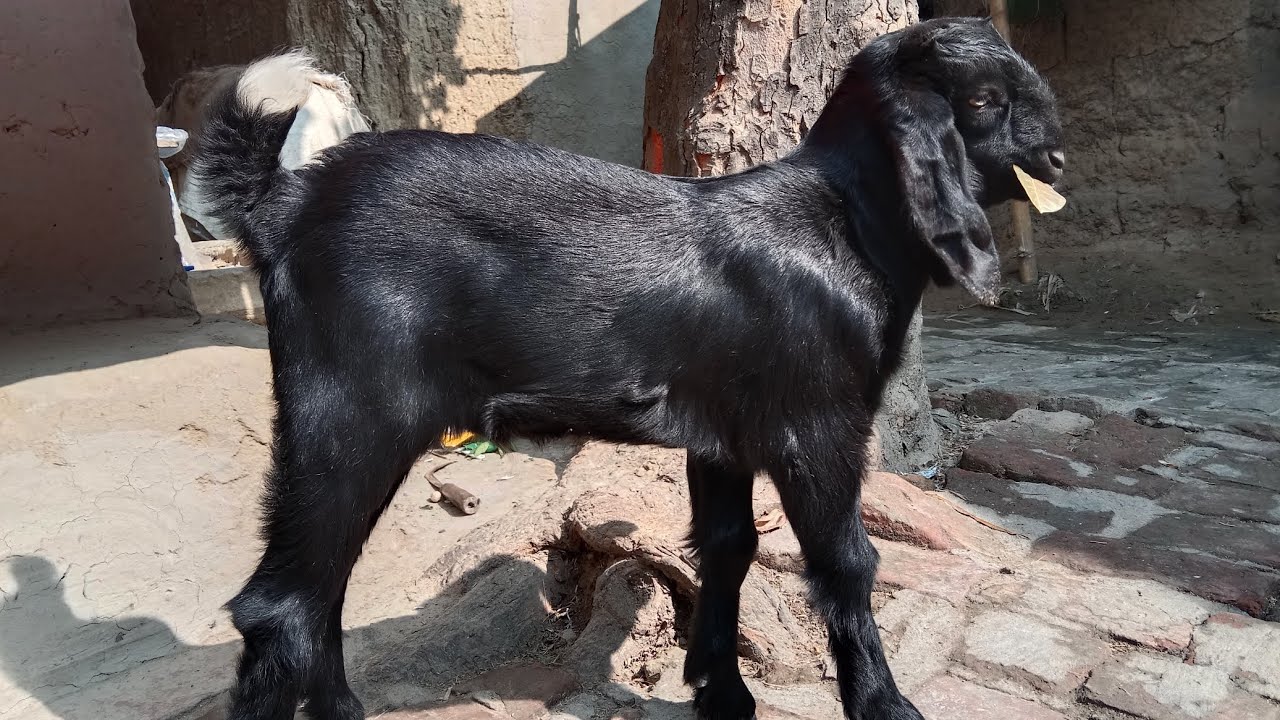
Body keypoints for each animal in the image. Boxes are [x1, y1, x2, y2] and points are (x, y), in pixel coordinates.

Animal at [196, 17, 1064, 720]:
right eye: (984, 99)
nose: (1055, 156)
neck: (840, 225)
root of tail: (282, 205)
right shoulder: (818, 422)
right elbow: (848, 562)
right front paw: (886, 705)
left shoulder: (723, 435)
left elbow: (727, 546)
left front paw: (721, 692)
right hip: (351, 405)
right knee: (282, 603)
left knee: (322, 583)